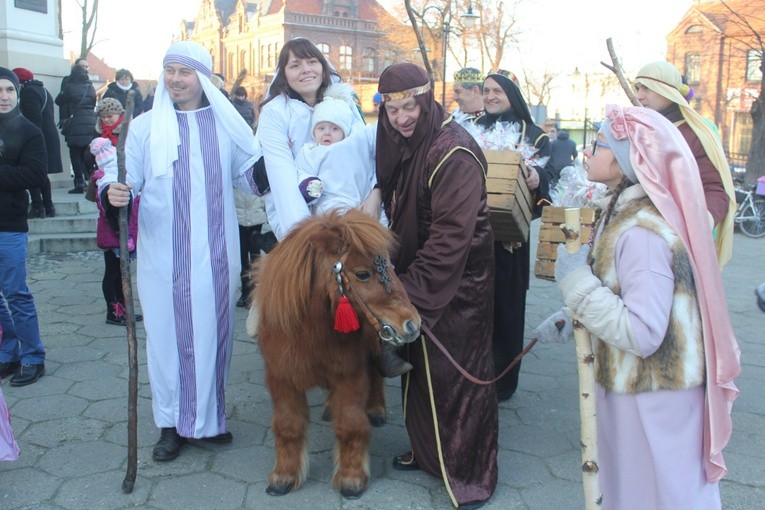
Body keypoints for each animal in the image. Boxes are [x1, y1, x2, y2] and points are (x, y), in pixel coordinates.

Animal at [251, 209, 418, 500]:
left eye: (390, 266)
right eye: (362, 274)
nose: (412, 324)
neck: (309, 332)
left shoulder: (350, 375)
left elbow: (351, 424)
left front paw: (352, 479)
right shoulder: (281, 378)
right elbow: (287, 425)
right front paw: (284, 477)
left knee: (375, 374)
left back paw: (375, 409)